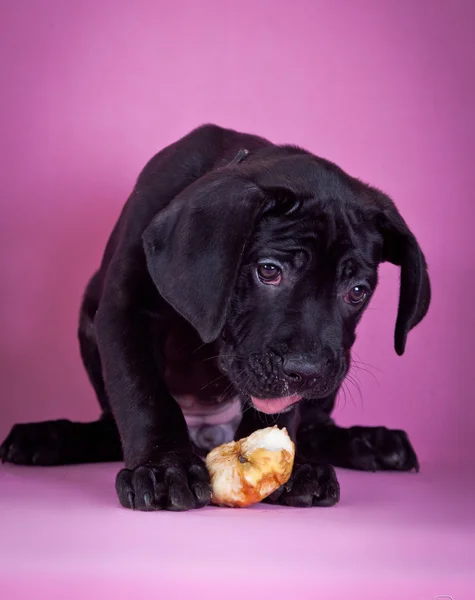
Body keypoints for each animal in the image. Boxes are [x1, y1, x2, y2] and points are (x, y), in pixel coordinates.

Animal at [0, 124, 432, 508]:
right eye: (269, 270)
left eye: (357, 291)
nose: (306, 371)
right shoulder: (125, 312)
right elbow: (143, 393)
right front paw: (164, 468)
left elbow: (284, 416)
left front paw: (289, 470)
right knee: (111, 424)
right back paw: (48, 438)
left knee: (313, 426)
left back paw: (367, 443)